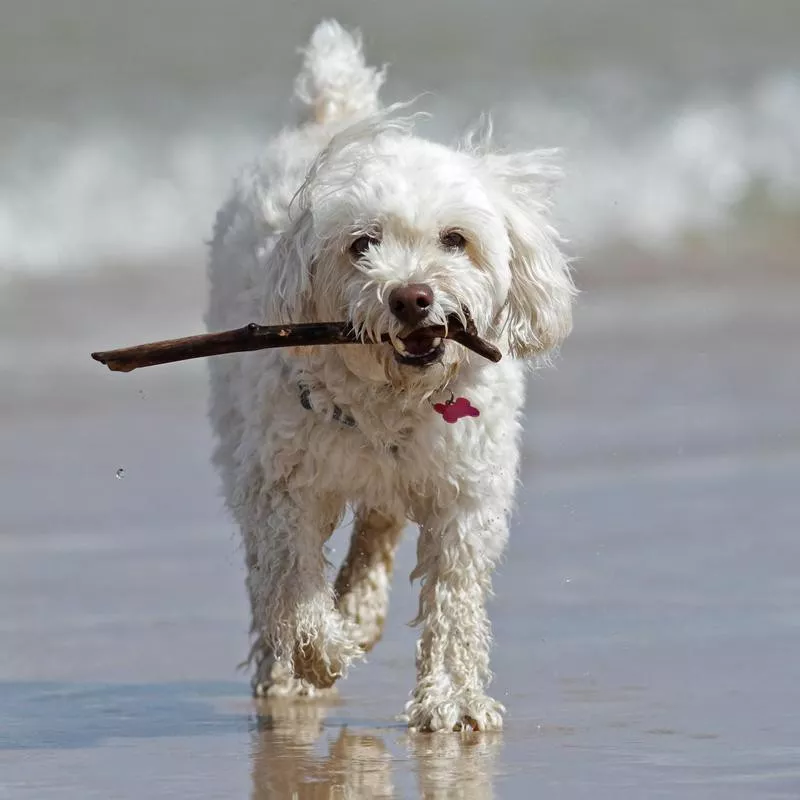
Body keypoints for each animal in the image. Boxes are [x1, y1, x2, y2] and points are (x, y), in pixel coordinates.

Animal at [203, 18, 572, 732]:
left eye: (455, 239)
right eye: (362, 245)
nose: (411, 298)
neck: (394, 400)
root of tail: (331, 113)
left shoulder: (465, 496)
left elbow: (454, 598)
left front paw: (453, 699)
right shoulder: (282, 486)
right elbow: (291, 577)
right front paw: (320, 652)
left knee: (378, 526)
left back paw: (360, 608)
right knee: (271, 577)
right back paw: (289, 668)